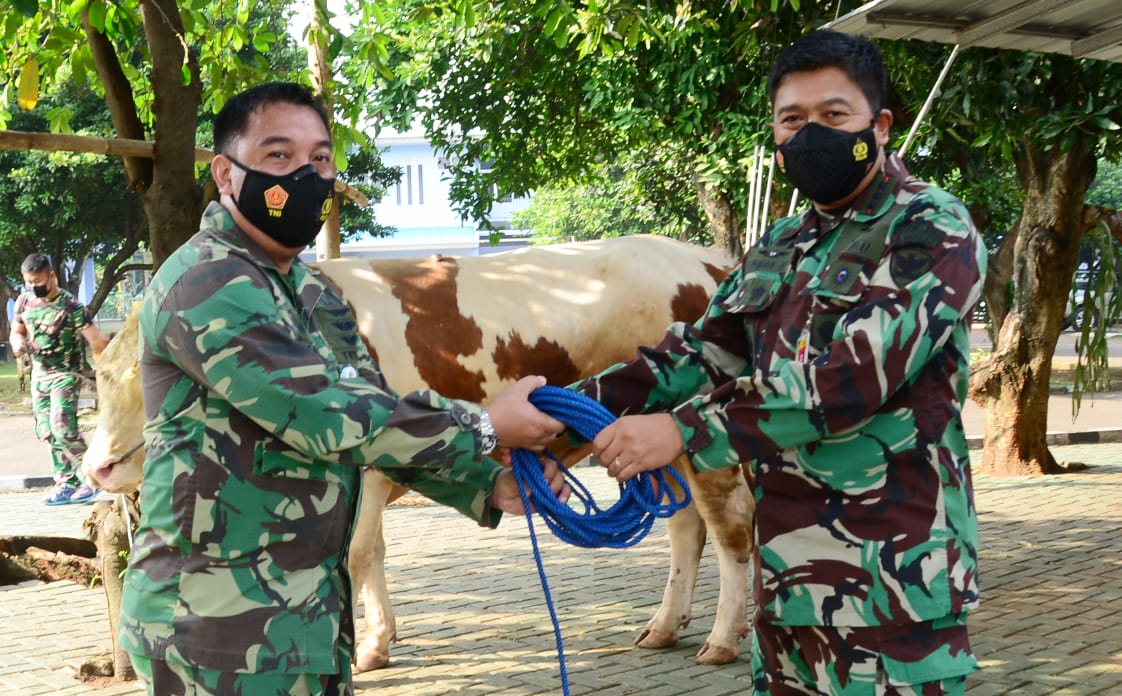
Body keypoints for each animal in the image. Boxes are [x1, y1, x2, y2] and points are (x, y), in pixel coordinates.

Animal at [85, 233, 753, 669]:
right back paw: (664, 626)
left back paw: (722, 638)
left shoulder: (368, 463)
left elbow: (356, 554)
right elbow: (370, 551)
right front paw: (380, 638)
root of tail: (704, 258)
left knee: (730, 525)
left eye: (140, 376)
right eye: (99, 375)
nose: (96, 467)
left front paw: (367, 650)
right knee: (685, 526)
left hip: (698, 434)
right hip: (650, 440)